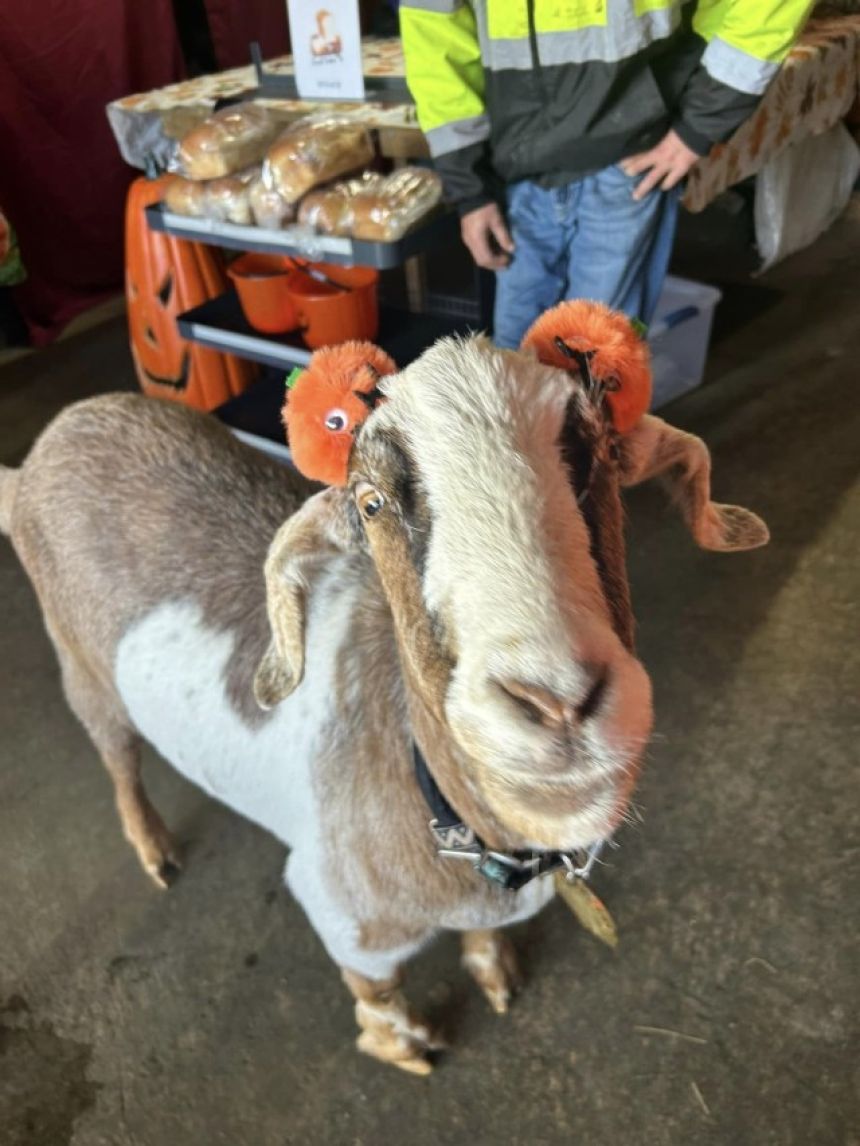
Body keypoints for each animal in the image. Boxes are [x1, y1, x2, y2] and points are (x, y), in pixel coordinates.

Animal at [0, 335, 768, 1073]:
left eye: (602, 454)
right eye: (371, 504)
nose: (557, 704)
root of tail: (51, 442)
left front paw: (495, 973)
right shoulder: (342, 913)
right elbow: (378, 988)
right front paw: (402, 1046)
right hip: (81, 668)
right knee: (116, 756)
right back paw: (153, 848)